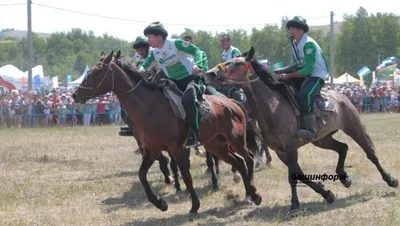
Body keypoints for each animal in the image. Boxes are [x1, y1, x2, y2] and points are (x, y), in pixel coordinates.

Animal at [72, 50, 264, 219]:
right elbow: (142, 174)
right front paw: (160, 203)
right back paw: (249, 194)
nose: (75, 94)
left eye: (96, 72)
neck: (149, 107)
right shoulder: (152, 149)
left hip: (236, 140)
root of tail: (233, 103)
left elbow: (186, 174)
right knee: (238, 162)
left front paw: (194, 206)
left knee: (248, 158)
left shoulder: (176, 148)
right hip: (216, 145)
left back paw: (254, 194)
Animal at [205, 46, 398, 216]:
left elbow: (293, 176)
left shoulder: (290, 147)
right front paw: (326, 193)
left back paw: (391, 180)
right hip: (322, 139)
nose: (210, 73)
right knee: (343, 147)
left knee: (370, 153)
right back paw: (345, 178)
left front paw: (295, 205)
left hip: (354, 128)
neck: (272, 107)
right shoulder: (281, 151)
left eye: (237, 63)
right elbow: (300, 175)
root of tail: (342, 97)